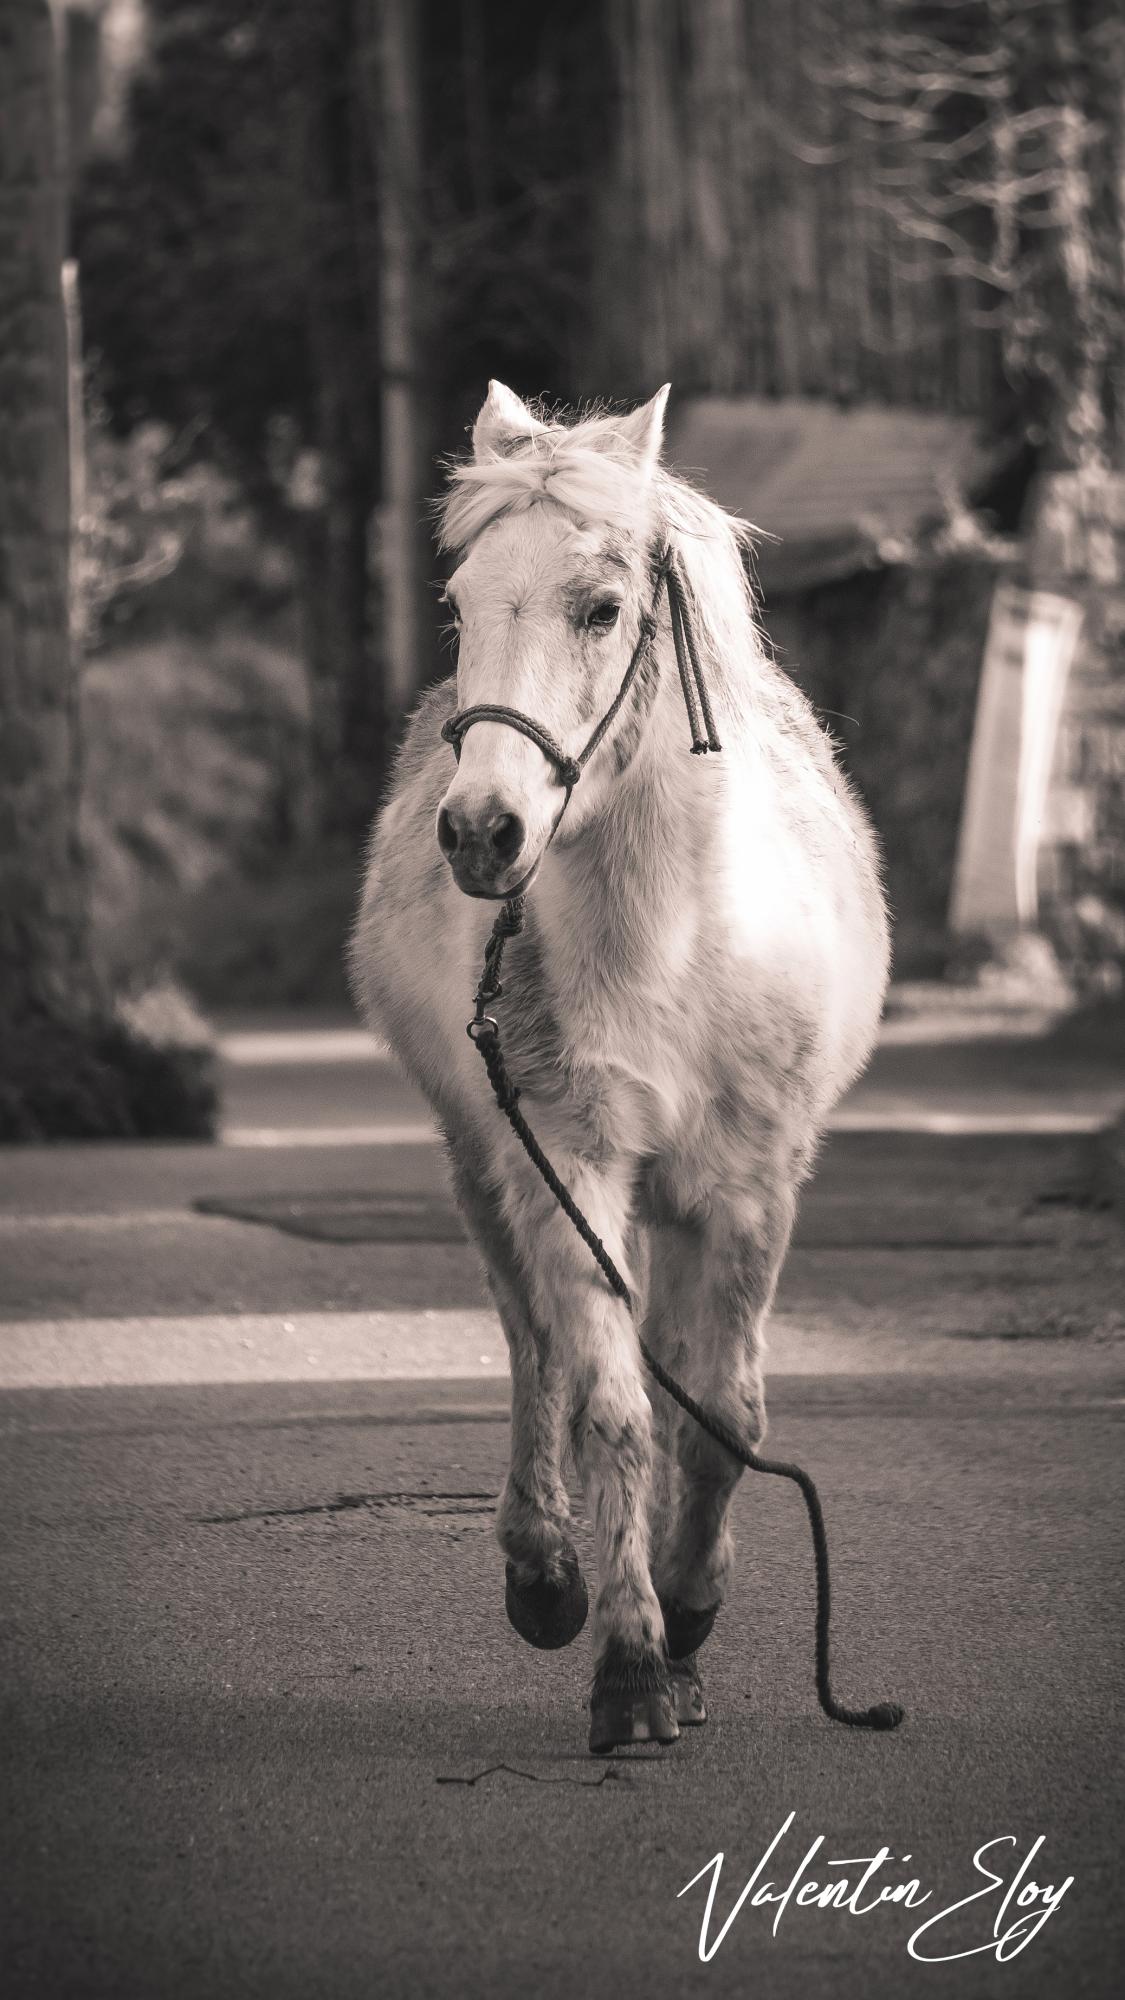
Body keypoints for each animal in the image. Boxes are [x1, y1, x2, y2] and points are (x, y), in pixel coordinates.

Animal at [350, 381, 890, 1754]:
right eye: (458, 605)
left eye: (600, 606)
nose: (479, 832)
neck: (672, 939)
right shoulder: (567, 1155)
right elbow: (614, 1401)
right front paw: (633, 1661)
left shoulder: (749, 1185)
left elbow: (726, 1417)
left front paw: (693, 1617)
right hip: (487, 1160)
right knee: (533, 1339)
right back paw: (544, 1570)